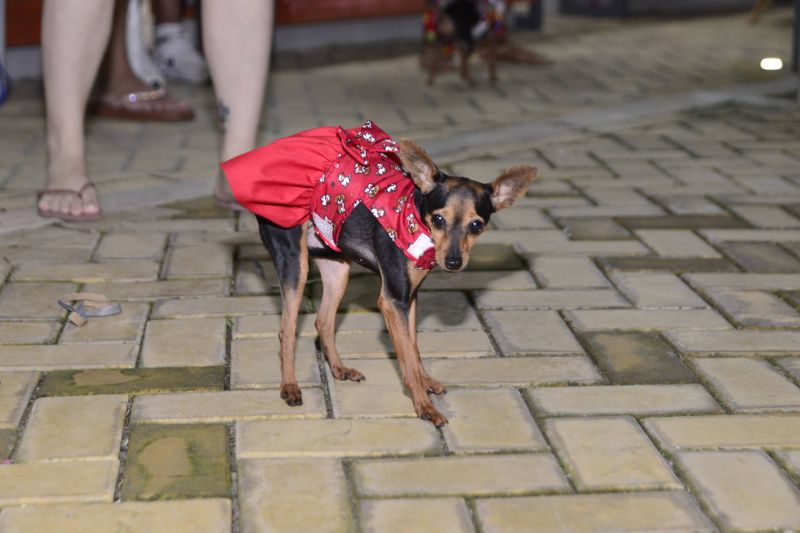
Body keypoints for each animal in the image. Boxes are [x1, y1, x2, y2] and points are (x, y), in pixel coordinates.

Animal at [222, 120, 536, 424]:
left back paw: (339, 369)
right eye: (438, 219)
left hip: (337, 268)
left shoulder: (408, 298)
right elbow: (406, 355)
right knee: (286, 330)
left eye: (476, 225)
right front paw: (424, 405)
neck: (413, 214)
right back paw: (289, 386)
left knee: (323, 322)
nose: (453, 262)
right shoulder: (392, 300)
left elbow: (413, 347)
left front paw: (425, 382)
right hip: (294, 264)